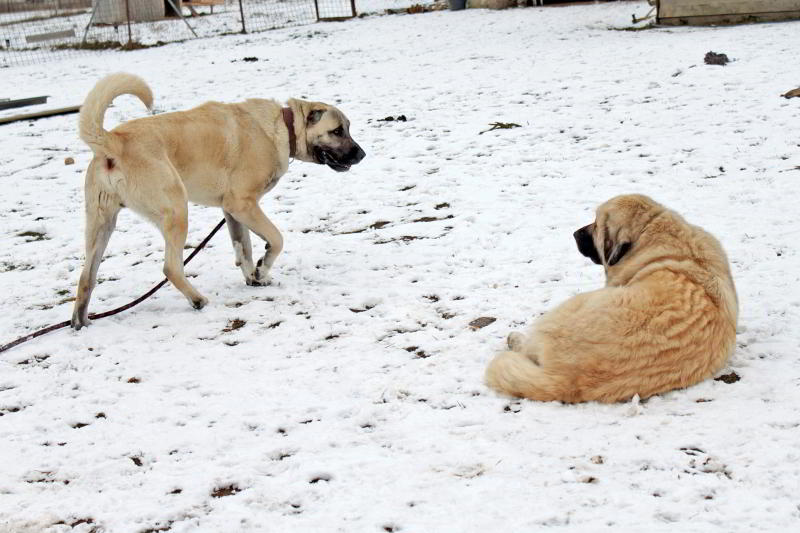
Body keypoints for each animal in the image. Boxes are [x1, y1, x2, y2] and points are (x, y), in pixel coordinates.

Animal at [71, 73, 365, 329]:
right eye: (337, 131)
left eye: (346, 129)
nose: (362, 155)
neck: (282, 128)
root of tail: (113, 141)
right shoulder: (243, 204)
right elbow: (276, 239)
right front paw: (262, 268)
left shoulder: (232, 211)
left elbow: (243, 247)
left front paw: (253, 278)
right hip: (177, 211)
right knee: (171, 267)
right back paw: (198, 300)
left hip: (101, 225)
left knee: (87, 278)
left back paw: (80, 322)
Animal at [485, 194, 738, 403]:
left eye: (596, 225)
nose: (575, 233)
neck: (651, 232)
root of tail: (568, 379)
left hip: (571, 306)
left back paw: (515, 339)